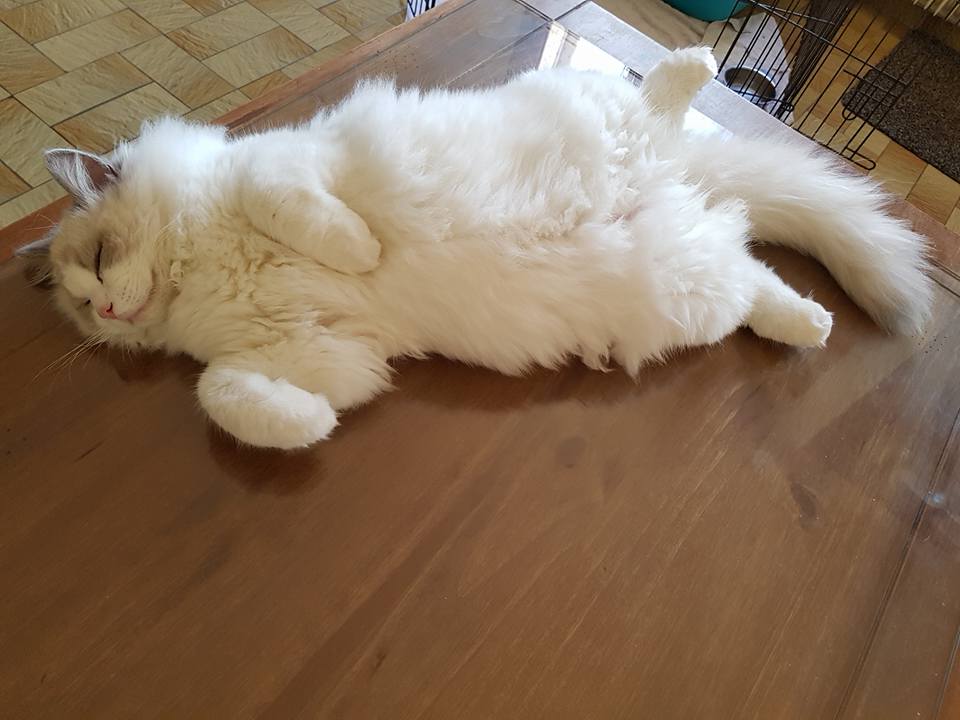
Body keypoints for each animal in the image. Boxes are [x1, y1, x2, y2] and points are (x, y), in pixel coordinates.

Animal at [19, 47, 932, 449]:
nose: (106, 311)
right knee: (754, 274)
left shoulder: (279, 169)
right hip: (692, 282)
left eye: (96, 262)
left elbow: (296, 209)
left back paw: (695, 62)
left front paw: (359, 251)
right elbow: (227, 396)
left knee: (659, 97)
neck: (199, 269)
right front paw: (309, 426)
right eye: (84, 309)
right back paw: (809, 325)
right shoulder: (321, 355)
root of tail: (678, 176)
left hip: (607, 119)